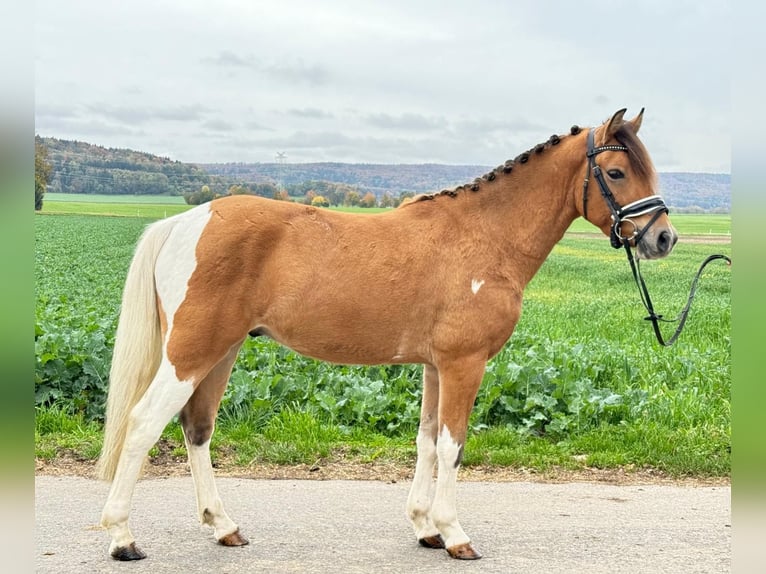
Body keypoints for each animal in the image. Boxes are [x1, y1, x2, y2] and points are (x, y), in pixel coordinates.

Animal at [96, 108, 680, 564]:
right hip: (190, 352)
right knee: (143, 423)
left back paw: (224, 526)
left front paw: (424, 527)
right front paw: (454, 534)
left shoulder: (435, 365)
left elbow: (426, 440)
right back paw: (123, 537)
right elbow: (452, 445)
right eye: (616, 171)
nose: (663, 238)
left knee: (197, 428)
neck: (485, 237)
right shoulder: (465, 363)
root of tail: (185, 220)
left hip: (221, 352)